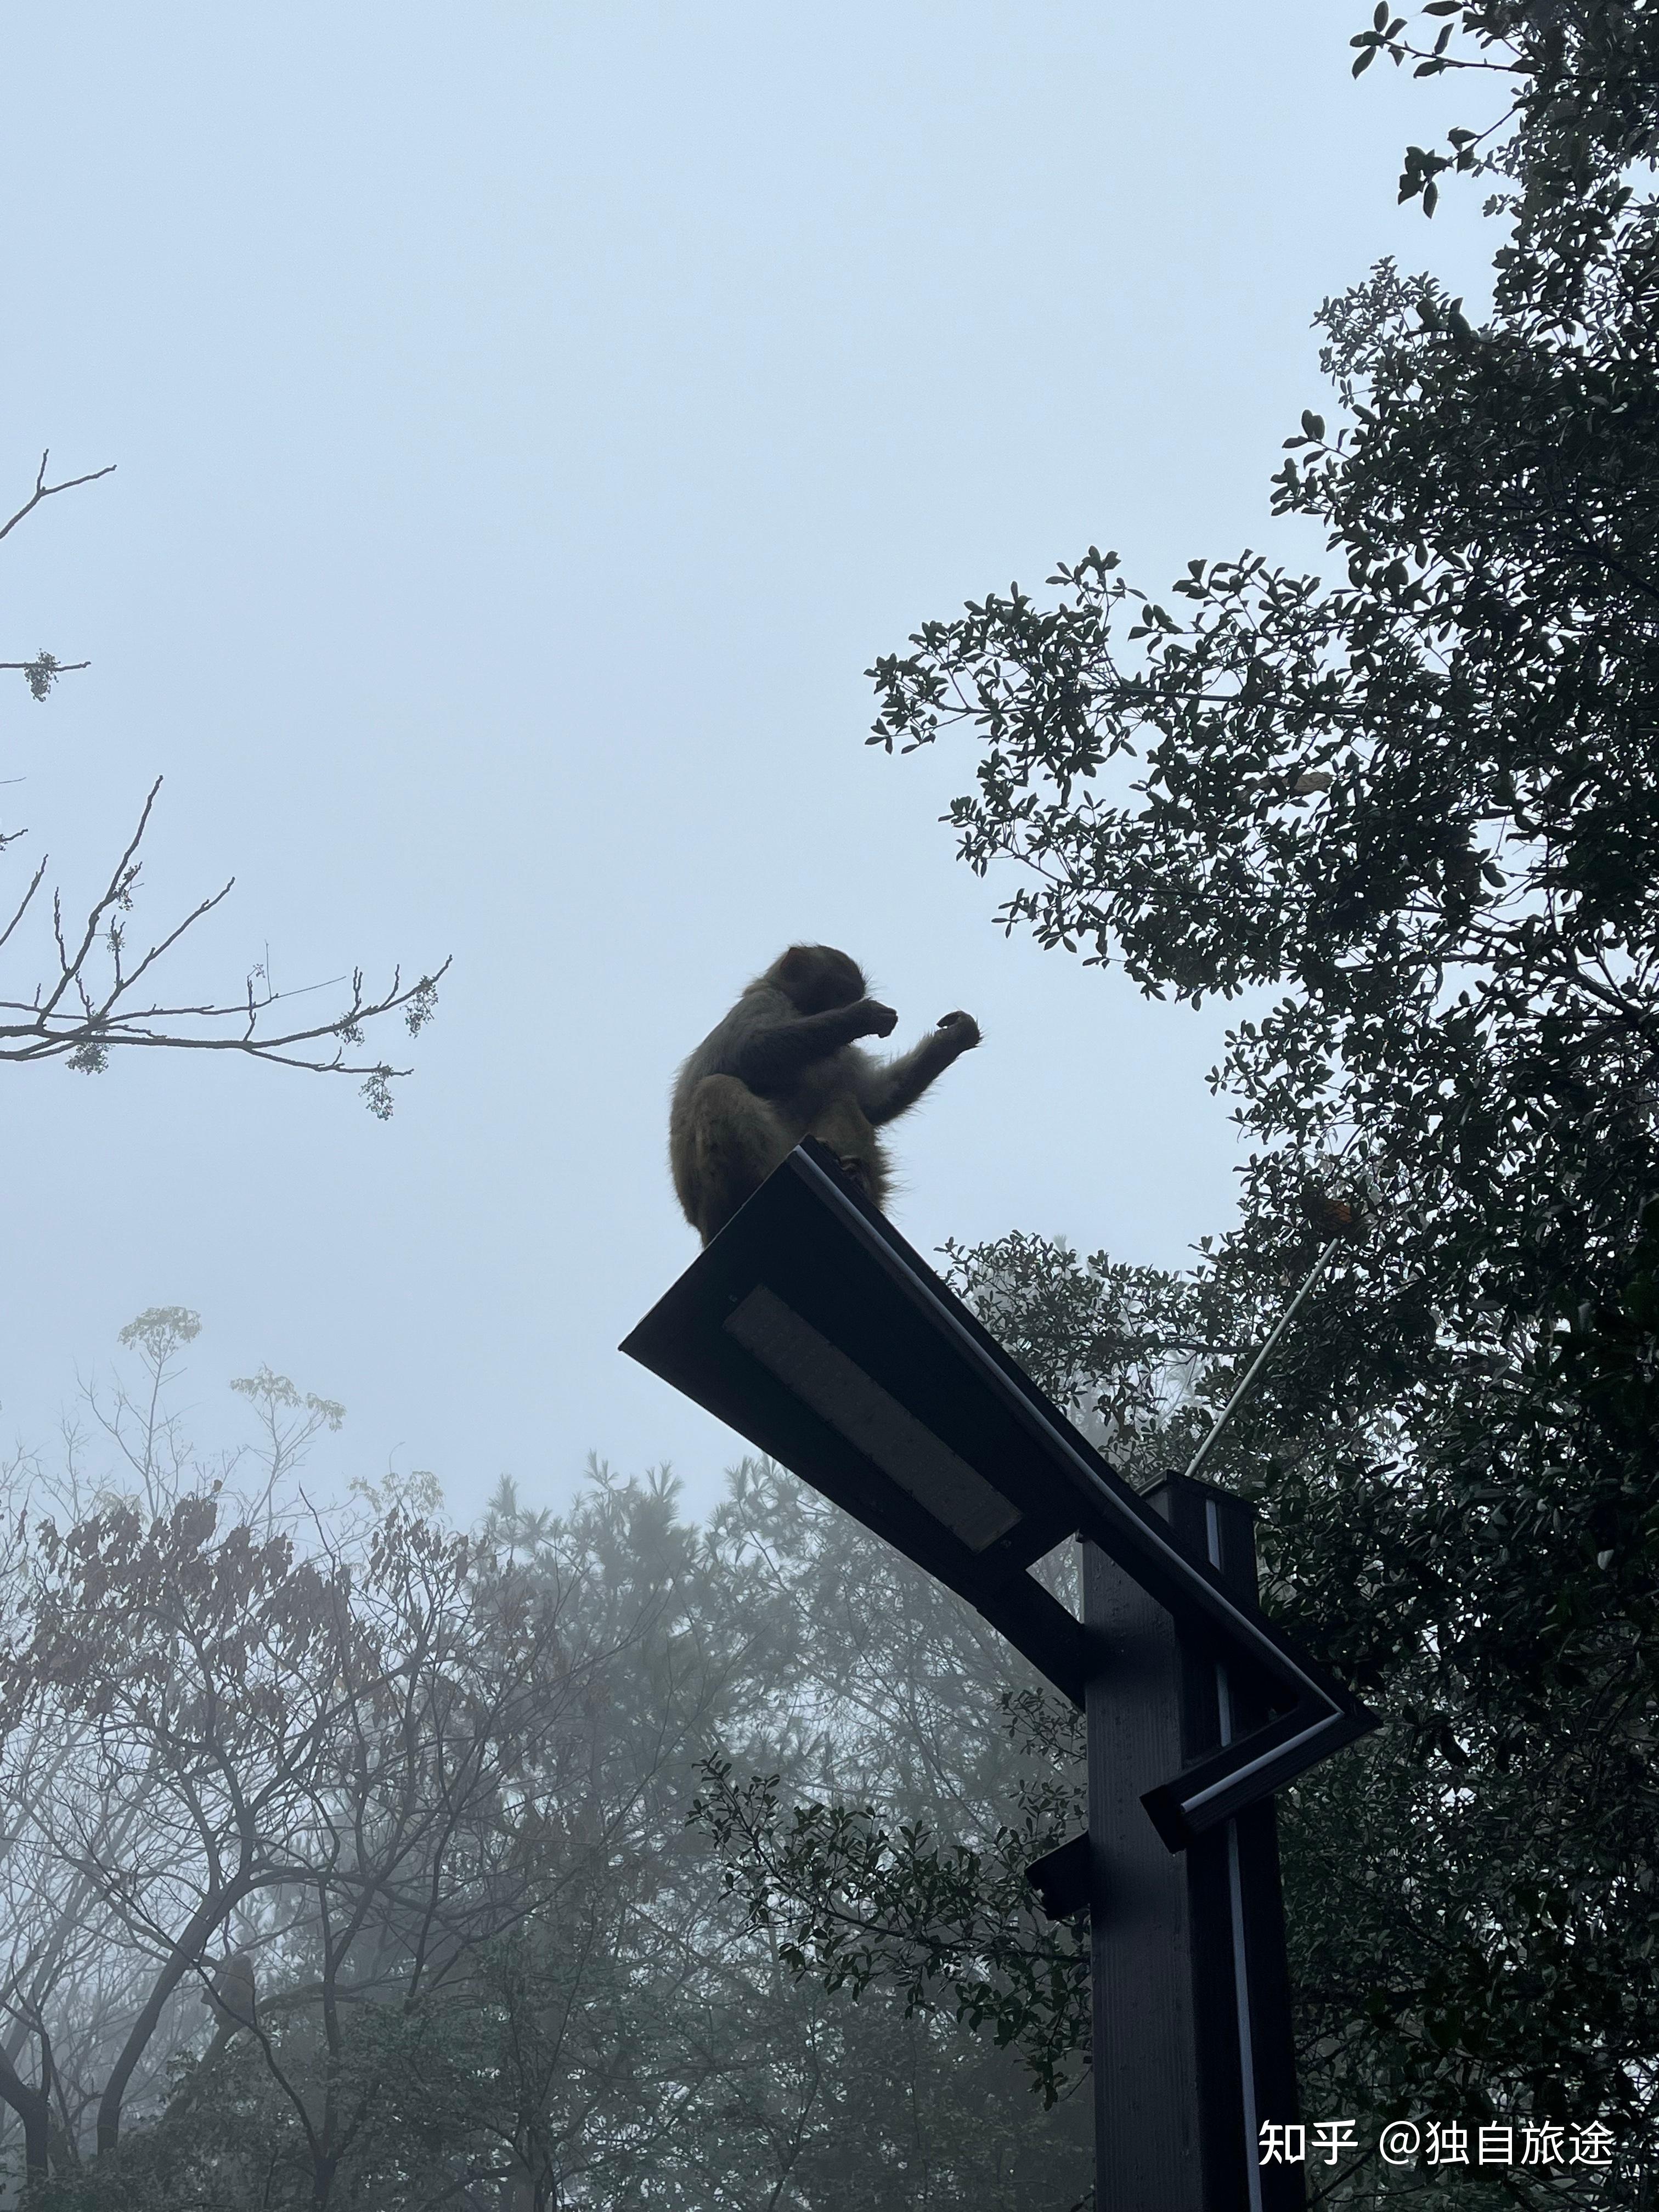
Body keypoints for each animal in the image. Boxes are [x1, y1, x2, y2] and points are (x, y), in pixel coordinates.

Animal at [668, 938, 982, 1248]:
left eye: (849, 995)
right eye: (840, 993)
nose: (847, 1005)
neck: (800, 1009)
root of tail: (704, 1228)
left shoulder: (841, 1052)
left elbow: (872, 1101)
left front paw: (955, 1037)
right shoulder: (762, 1002)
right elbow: (745, 1052)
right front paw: (861, 1017)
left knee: (841, 1099)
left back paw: (857, 1179)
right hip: (716, 1196)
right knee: (716, 1088)